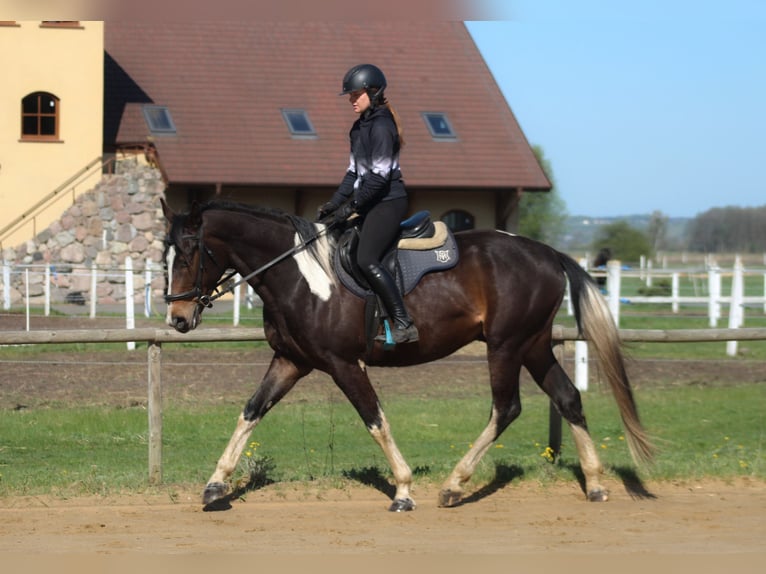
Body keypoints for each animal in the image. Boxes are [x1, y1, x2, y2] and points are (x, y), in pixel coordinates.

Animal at [161, 198, 653, 511]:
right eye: (167, 253)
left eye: (190, 252)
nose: (178, 318)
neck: (300, 276)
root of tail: (548, 252)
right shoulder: (290, 361)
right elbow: (250, 411)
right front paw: (215, 484)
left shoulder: (342, 363)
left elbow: (375, 419)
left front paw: (402, 490)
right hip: (533, 345)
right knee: (568, 398)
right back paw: (594, 483)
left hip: (507, 346)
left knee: (506, 407)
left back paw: (454, 486)